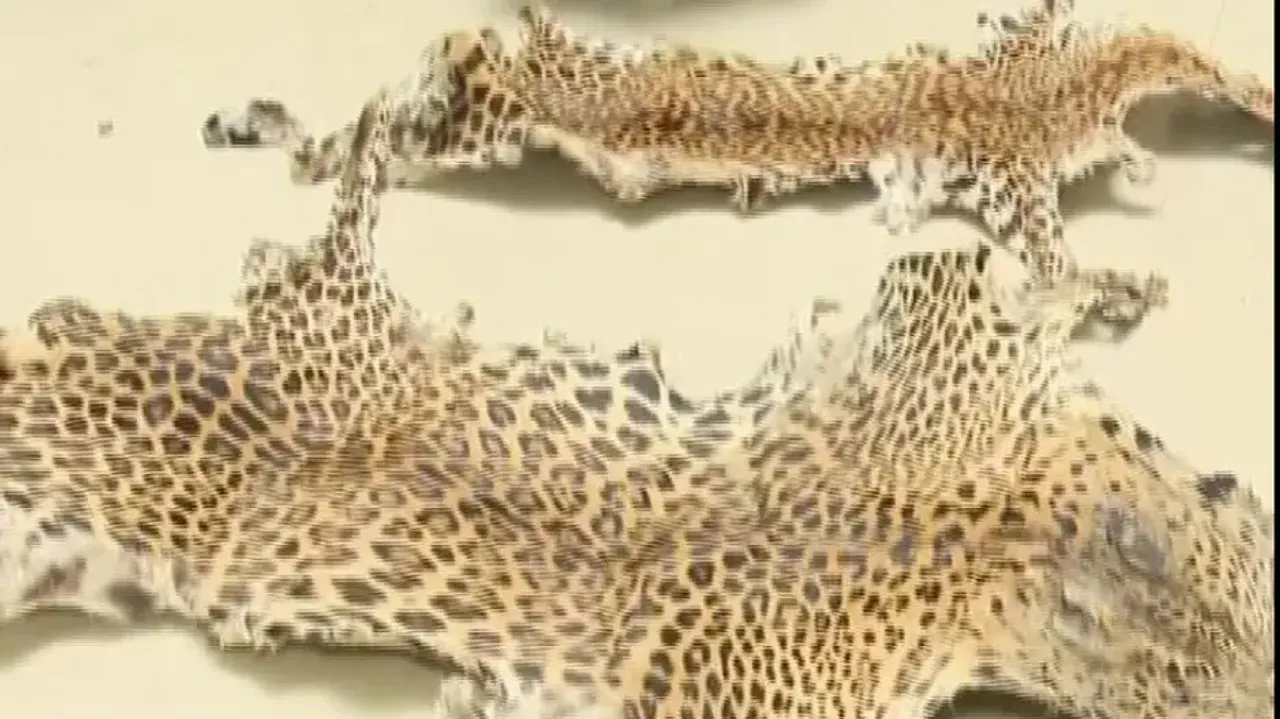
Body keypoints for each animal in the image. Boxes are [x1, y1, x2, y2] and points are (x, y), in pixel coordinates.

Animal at [199, 0, 1272, 339]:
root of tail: (486, 63)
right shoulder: (1017, 174)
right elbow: (1064, 264)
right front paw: (1126, 284)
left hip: (464, 108)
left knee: (366, 127)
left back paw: (248, 123)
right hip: (475, 127)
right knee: (368, 135)